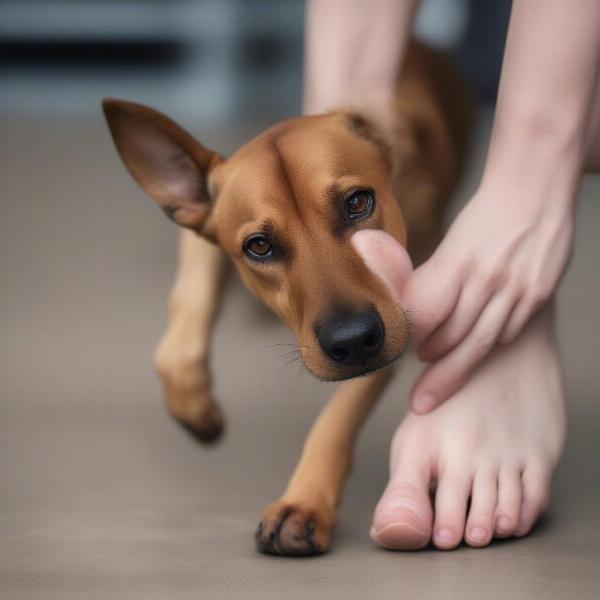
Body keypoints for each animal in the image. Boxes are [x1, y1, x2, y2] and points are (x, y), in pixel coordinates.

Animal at [103, 39, 472, 556]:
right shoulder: (202, 236)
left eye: (358, 202)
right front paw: (196, 409)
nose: (352, 340)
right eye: (259, 246)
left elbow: (338, 414)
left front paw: (304, 503)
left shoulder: (400, 316)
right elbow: (179, 336)